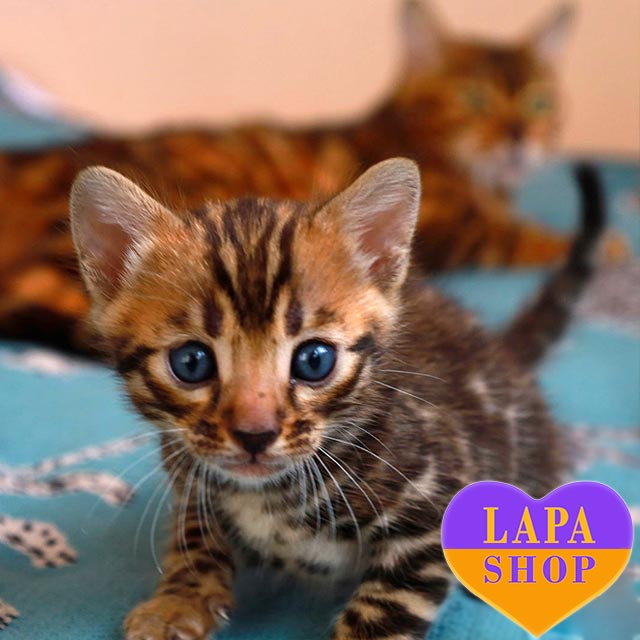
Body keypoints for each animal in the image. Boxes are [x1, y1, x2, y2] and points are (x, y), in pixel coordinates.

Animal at [2, 0, 623, 357]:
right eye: (474, 99)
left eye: (541, 101)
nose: (520, 135)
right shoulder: (457, 227)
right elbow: (526, 234)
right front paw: (613, 243)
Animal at [69, 156, 603, 640]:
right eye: (192, 362)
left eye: (314, 360)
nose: (255, 434)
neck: (267, 495)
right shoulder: (190, 476)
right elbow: (194, 537)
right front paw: (179, 602)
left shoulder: (435, 507)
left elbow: (384, 608)